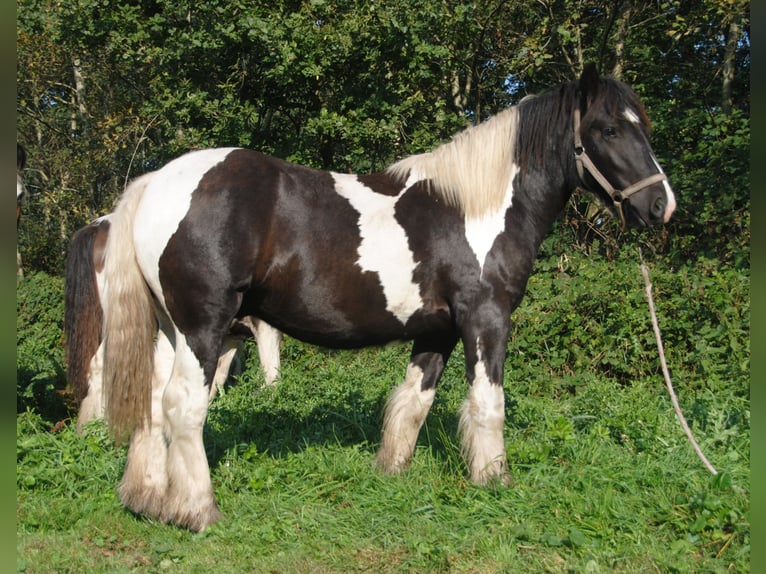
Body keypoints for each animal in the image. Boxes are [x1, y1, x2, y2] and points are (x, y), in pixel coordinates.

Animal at [97, 65, 680, 532]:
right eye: (608, 128)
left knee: (151, 402)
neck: (476, 210)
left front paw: (390, 476)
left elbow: (411, 405)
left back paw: (148, 499)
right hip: (202, 328)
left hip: (170, 330)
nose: (661, 205)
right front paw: (494, 481)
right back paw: (198, 510)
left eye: (644, 127)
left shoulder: (437, 330)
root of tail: (156, 183)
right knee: (183, 406)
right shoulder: (486, 320)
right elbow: (488, 404)